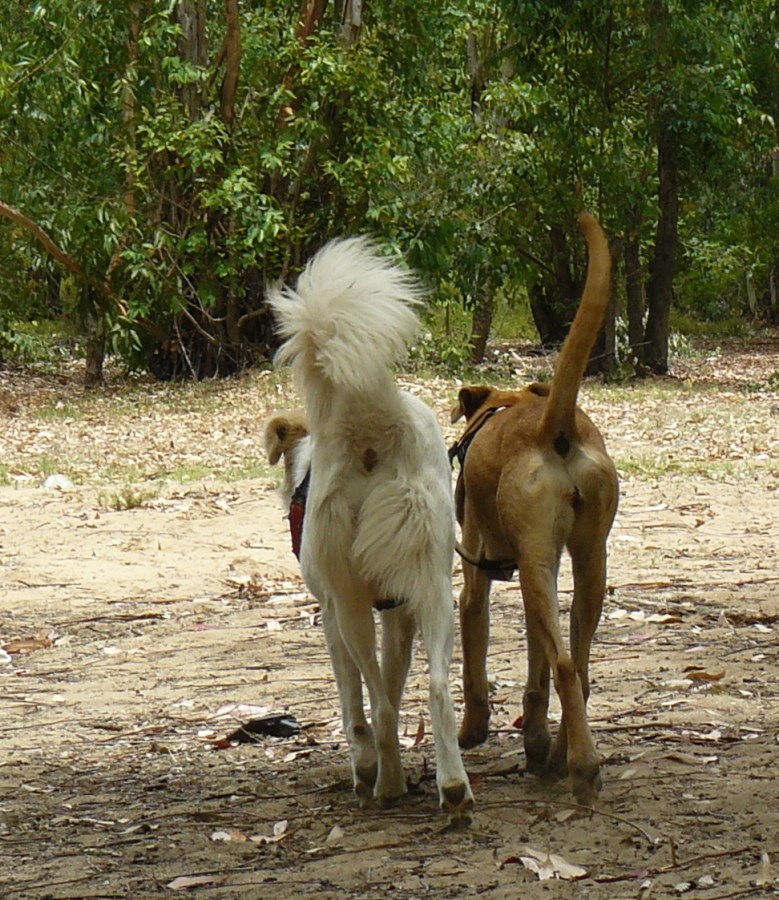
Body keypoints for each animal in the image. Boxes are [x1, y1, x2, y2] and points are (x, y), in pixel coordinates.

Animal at [267, 237, 473, 820]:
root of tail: (367, 419)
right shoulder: (397, 611)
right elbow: (396, 681)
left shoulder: (331, 617)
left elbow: (355, 703)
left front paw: (364, 766)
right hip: (431, 587)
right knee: (434, 687)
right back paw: (451, 787)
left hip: (352, 601)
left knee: (377, 706)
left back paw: (384, 785)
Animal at [449, 212, 618, 805]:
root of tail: (554, 427)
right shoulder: (538, 570)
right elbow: (536, 676)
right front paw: (537, 743)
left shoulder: (475, 580)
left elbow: (476, 663)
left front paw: (473, 730)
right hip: (585, 562)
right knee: (580, 666)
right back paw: (567, 751)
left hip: (535, 567)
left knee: (567, 664)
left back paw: (583, 767)